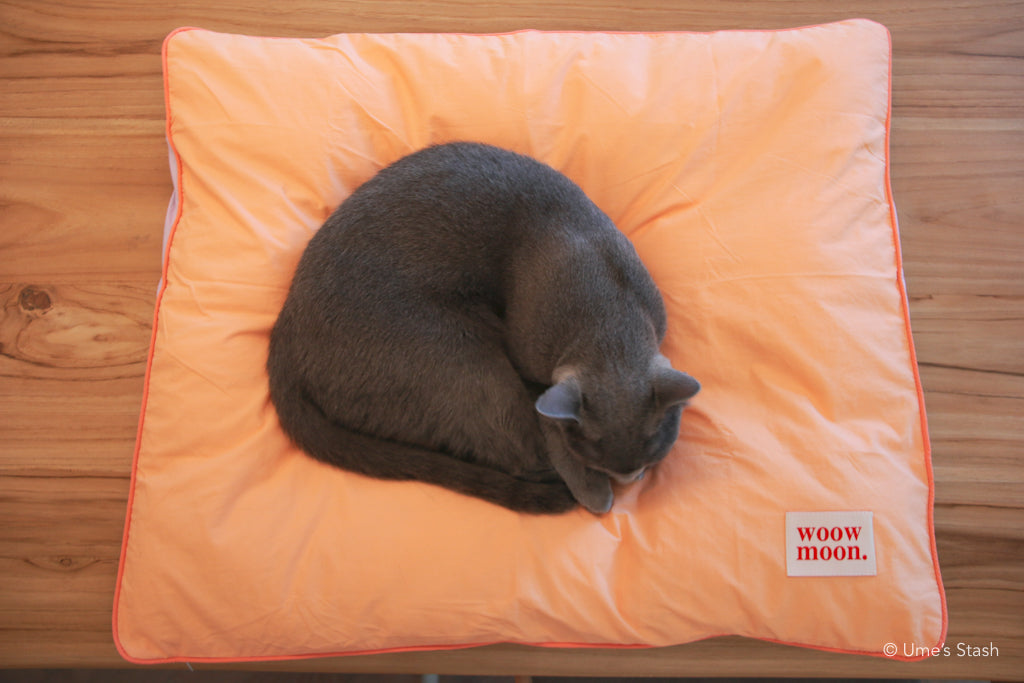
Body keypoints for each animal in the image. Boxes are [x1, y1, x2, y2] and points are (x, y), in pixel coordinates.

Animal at [264, 143, 700, 511]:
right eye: (591, 450)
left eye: (655, 447)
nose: (629, 478)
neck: (607, 313)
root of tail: (283, 332)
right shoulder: (532, 363)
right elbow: (551, 430)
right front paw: (594, 491)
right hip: (466, 362)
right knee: (519, 452)